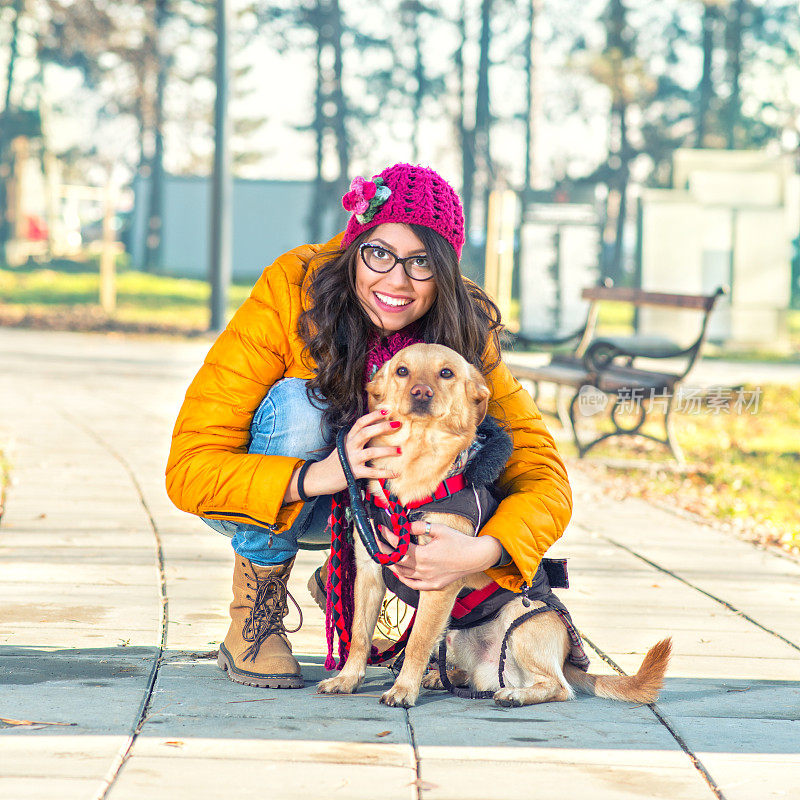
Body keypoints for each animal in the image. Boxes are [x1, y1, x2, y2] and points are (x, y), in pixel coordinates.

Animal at [316, 344, 672, 708]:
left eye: (446, 373)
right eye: (402, 371)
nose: (421, 392)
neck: (415, 463)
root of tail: (563, 661)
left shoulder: (438, 583)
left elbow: (416, 643)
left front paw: (403, 689)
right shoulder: (369, 573)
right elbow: (360, 635)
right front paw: (347, 678)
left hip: (521, 622)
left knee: (558, 687)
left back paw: (514, 694)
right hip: (455, 636)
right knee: (471, 673)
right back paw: (447, 677)